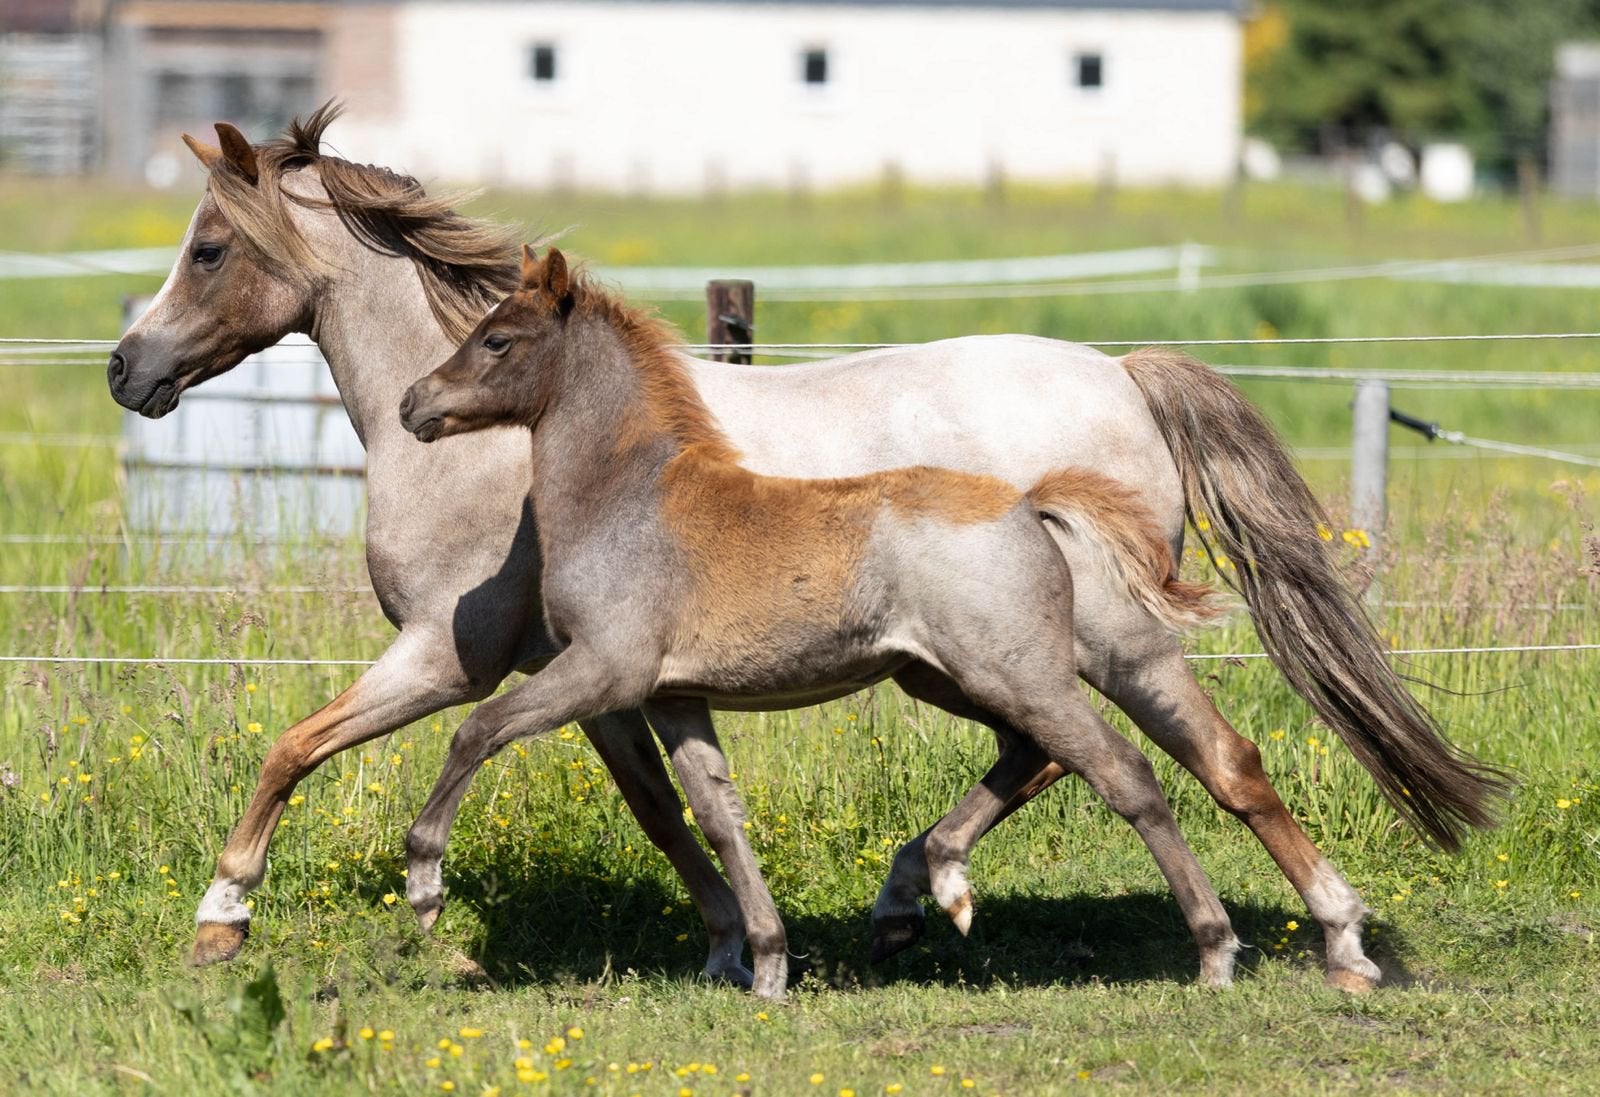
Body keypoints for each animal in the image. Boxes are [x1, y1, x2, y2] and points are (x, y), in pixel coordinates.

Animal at [398, 245, 1253, 992]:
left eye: (497, 338)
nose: (414, 402)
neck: (629, 498)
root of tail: (1026, 505)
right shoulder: (674, 695)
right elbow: (719, 815)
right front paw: (770, 965)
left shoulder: (605, 668)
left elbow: (479, 727)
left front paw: (424, 882)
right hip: (948, 677)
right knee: (1032, 753)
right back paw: (935, 890)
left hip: (1020, 675)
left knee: (1126, 772)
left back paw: (1215, 950)